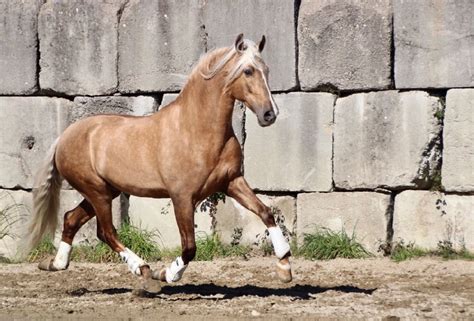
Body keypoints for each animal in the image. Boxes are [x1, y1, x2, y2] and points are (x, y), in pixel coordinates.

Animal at [25, 33, 292, 288]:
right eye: (248, 71)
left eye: (266, 70)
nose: (270, 114)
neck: (196, 130)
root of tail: (63, 137)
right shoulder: (182, 197)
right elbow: (189, 247)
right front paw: (166, 274)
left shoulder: (232, 181)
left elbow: (266, 212)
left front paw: (285, 265)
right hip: (96, 191)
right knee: (106, 232)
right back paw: (143, 270)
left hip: (105, 191)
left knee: (71, 219)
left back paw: (56, 264)